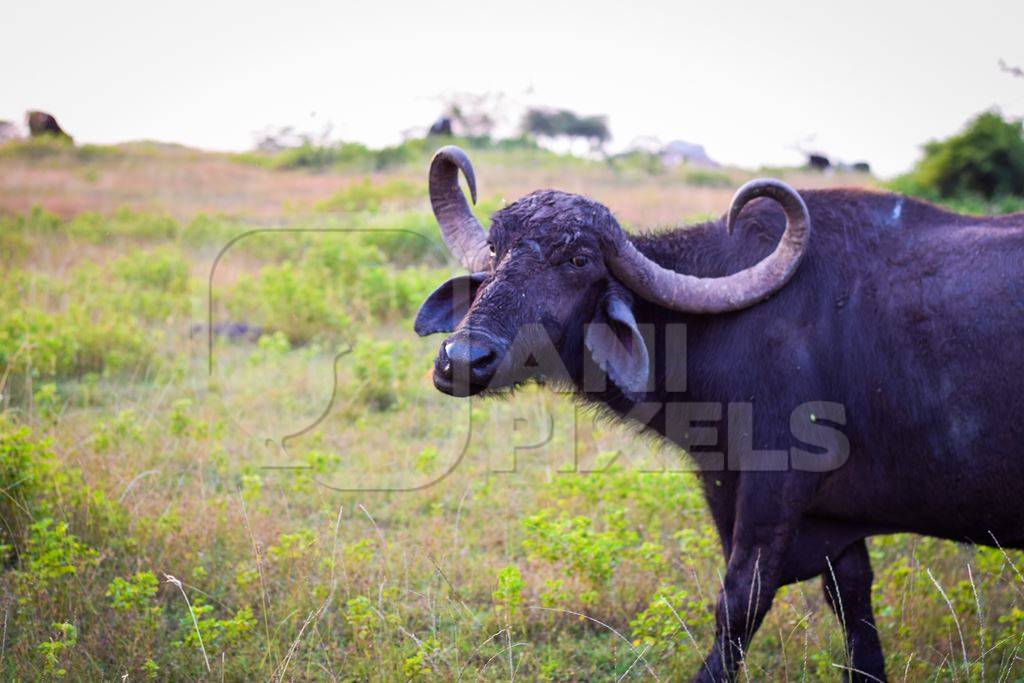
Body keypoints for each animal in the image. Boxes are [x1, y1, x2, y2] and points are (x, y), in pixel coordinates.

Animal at [413, 145, 1024, 679]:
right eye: (496, 251)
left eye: (578, 260)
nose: (462, 360)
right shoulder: (808, 512)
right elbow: (851, 597)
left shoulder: (777, 486)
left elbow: (741, 601)